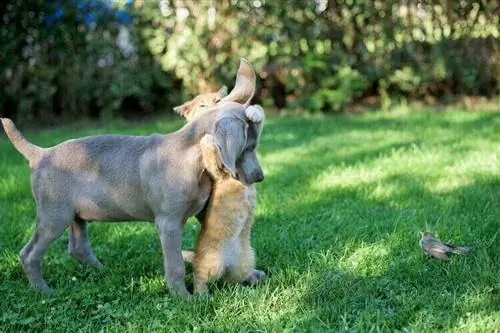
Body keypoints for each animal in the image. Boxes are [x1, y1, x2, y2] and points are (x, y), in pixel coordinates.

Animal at [0, 58, 264, 296]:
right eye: (248, 147)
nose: (260, 177)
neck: (191, 157)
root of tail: (40, 153)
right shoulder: (168, 222)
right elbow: (176, 264)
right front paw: (185, 298)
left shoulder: (203, 210)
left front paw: (249, 274)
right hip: (54, 214)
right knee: (29, 254)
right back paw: (44, 292)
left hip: (76, 214)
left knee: (78, 248)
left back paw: (103, 272)